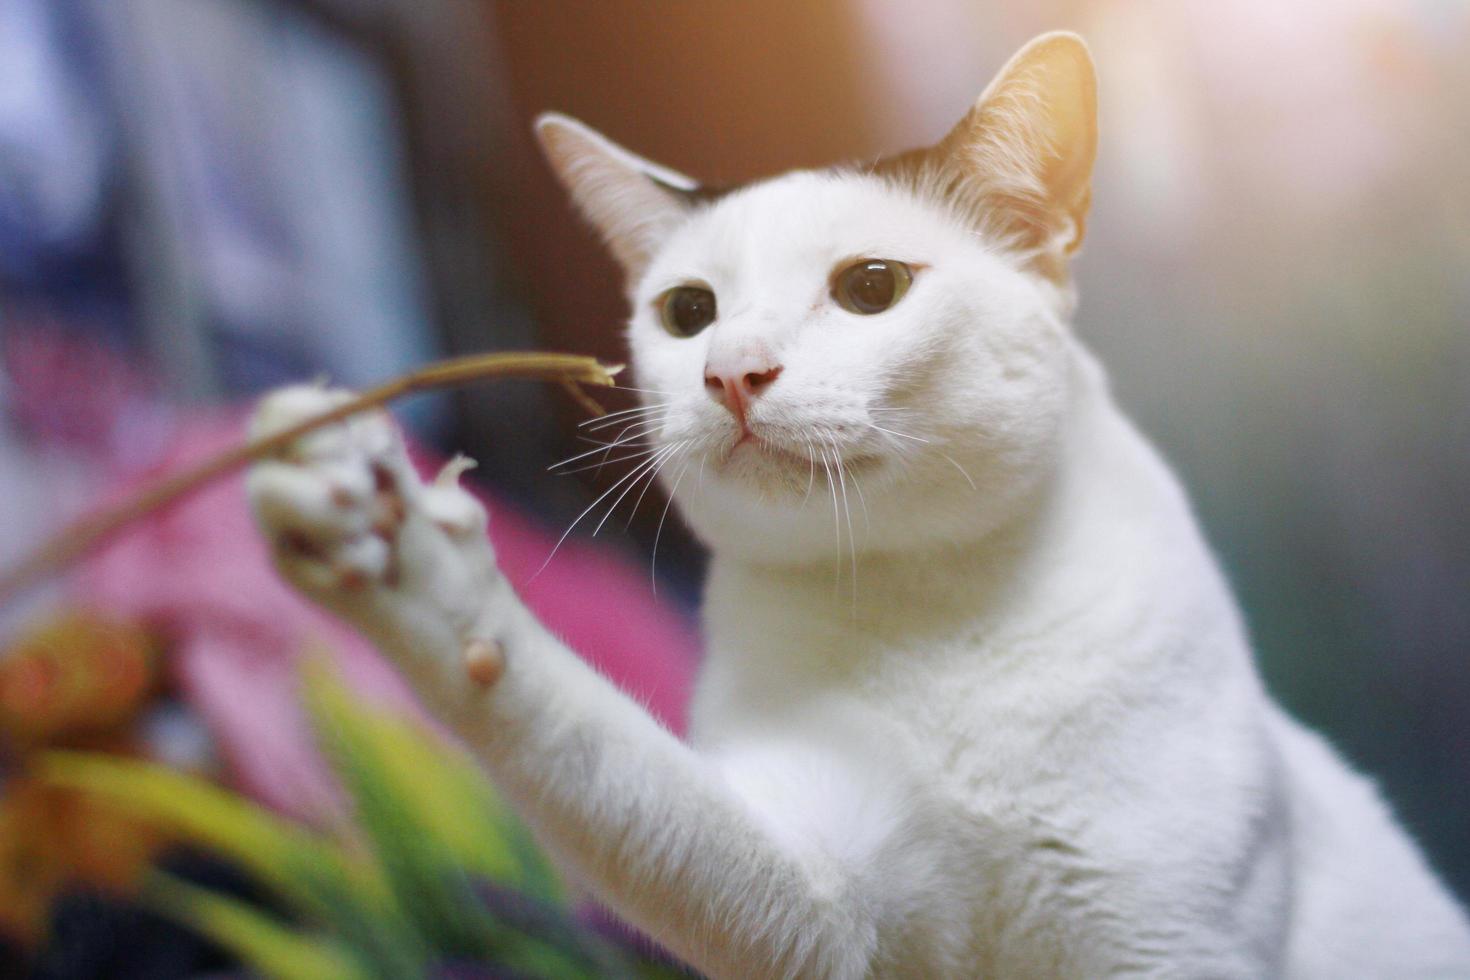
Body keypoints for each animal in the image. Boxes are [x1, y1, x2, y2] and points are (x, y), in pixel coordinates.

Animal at [246, 32, 1470, 980]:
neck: (929, 605)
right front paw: (386, 538)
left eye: (870, 288)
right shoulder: (818, 896)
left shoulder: (1172, 945)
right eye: (687, 312)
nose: (731, 372)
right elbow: (595, 751)